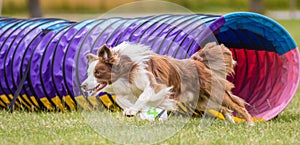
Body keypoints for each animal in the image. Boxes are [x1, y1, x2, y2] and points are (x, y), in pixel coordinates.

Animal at [81, 41, 254, 125]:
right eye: (88, 73)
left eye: (98, 73)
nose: (83, 86)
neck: (127, 71)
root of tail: (197, 62)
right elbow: (122, 99)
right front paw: (133, 110)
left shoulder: (156, 85)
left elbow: (143, 96)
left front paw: (132, 111)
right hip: (202, 101)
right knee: (224, 108)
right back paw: (231, 122)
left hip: (214, 91)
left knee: (237, 105)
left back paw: (250, 124)